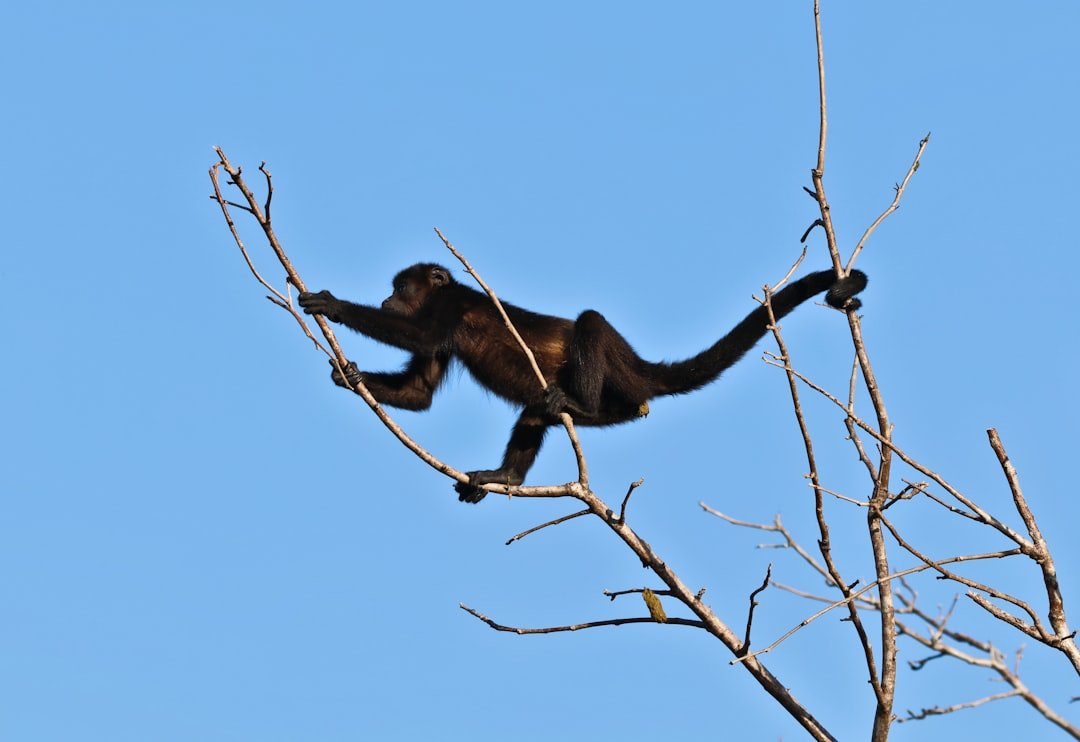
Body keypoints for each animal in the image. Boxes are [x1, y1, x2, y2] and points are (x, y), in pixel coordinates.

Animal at [298, 262, 867, 503]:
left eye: (400, 289)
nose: (386, 298)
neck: (444, 295)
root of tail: (640, 368)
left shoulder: (451, 307)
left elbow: (414, 333)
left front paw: (331, 304)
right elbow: (418, 392)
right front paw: (348, 376)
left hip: (617, 376)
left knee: (591, 321)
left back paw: (584, 404)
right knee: (535, 411)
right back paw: (507, 476)